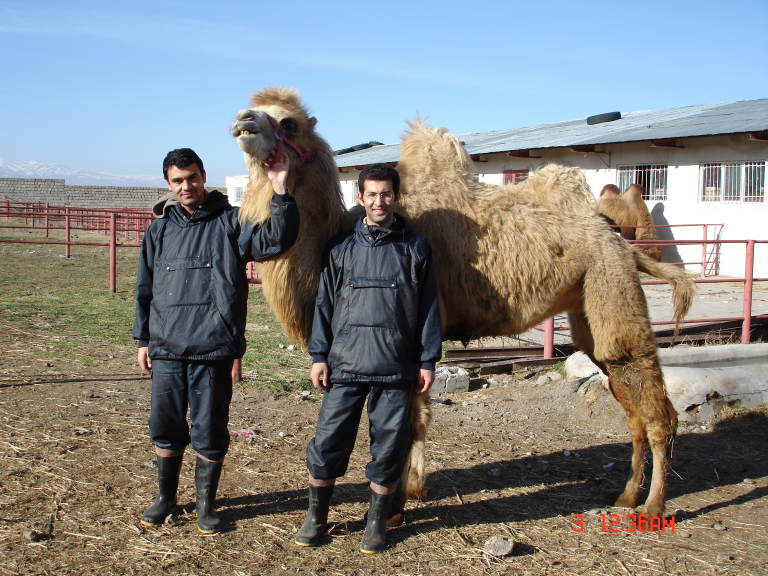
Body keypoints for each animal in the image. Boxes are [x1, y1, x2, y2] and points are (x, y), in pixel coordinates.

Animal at [228, 86, 696, 520]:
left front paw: (395, 507)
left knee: (657, 410)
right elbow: (416, 420)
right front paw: (412, 492)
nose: (242, 121)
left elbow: (409, 425)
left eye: (289, 123)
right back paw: (626, 495)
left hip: (611, 287)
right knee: (632, 405)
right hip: (590, 311)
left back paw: (653, 506)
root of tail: (621, 243)